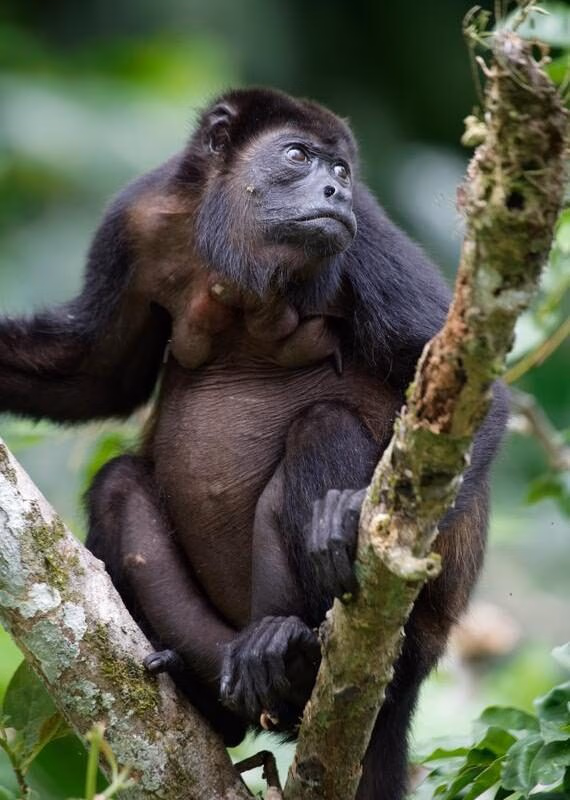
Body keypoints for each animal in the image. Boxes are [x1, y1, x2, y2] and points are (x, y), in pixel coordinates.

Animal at [0, 88, 508, 800]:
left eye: (343, 171)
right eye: (297, 156)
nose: (334, 190)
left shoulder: (366, 235)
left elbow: (475, 394)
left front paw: (351, 519)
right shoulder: (135, 218)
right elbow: (95, 375)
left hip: (414, 634)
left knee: (322, 425)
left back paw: (292, 652)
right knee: (120, 484)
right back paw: (222, 698)